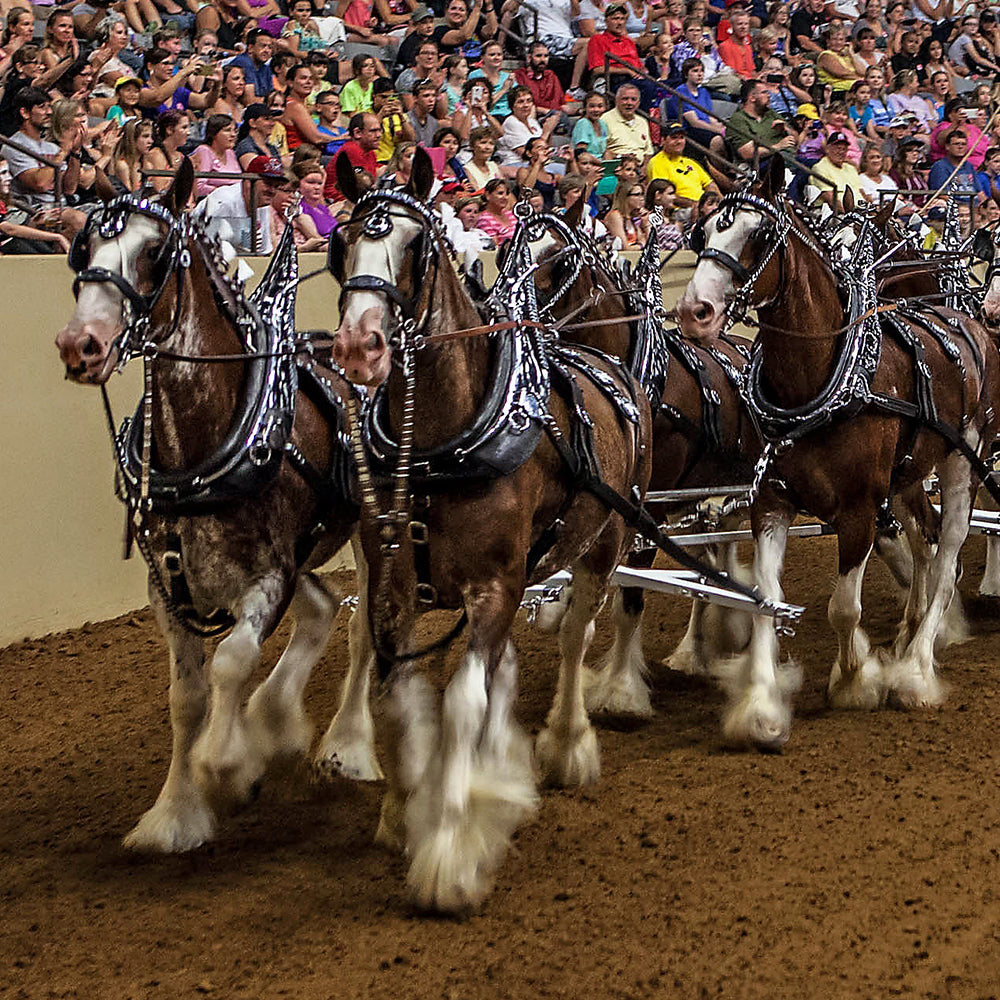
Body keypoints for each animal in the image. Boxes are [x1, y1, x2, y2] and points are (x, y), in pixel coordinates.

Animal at [50, 162, 374, 852]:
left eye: (153, 252)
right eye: (82, 249)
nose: (79, 344)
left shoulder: (269, 576)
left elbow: (231, 662)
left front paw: (230, 766)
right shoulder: (168, 584)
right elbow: (187, 697)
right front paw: (174, 813)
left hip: (372, 528)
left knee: (365, 626)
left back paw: (347, 748)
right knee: (325, 608)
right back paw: (279, 721)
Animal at [330, 148, 656, 916]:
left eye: (415, 247)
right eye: (340, 243)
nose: (359, 346)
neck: (441, 446)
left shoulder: (494, 587)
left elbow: (464, 699)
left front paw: (450, 848)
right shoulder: (396, 591)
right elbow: (399, 696)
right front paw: (403, 809)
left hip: (604, 545)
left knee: (575, 638)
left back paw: (566, 745)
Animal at [676, 156, 996, 748]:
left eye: (760, 235)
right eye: (702, 233)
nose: (694, 311)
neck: (817, 380)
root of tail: (971, 325)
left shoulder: (859, 509)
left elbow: (844, 608)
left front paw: (855, 679)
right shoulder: (771, 503)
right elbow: (766, 598)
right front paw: (760, 708)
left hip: (963, 460)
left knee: (948, 554)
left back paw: (916, 668)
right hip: (912, 473)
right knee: (928, 540)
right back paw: (911, 634)